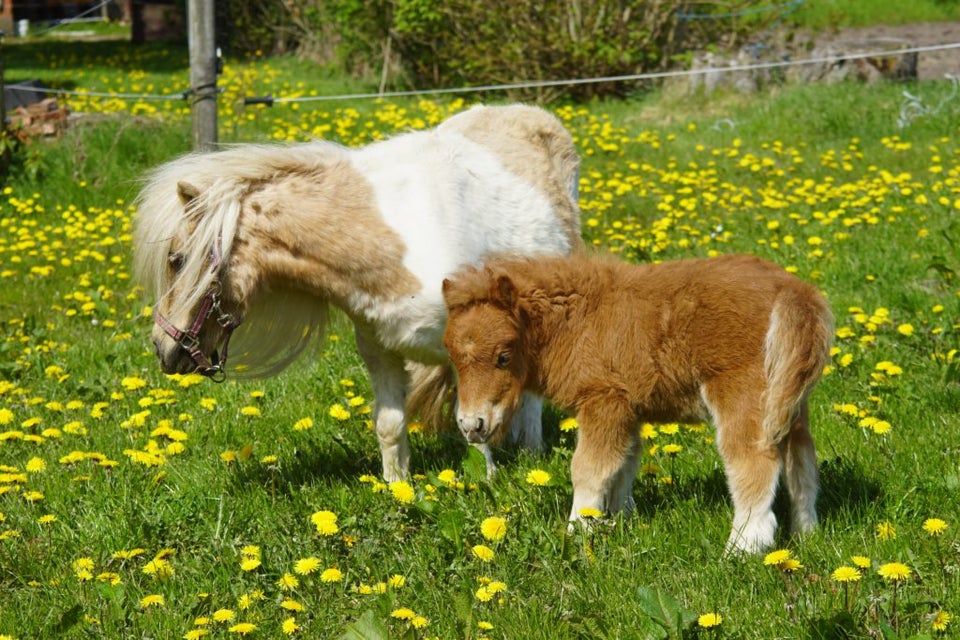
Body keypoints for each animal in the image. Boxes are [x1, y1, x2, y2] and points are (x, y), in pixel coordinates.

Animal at [126, 105, 576, 480]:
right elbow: (390, 426)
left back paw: (532, 453)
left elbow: (474, 423)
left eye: (177, 260)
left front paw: (486, 482)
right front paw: (397, 489)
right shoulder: (379, 350)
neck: (398, 242)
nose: (163, 348)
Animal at [442, 252, 832, 552]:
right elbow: (623, 465)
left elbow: (588, 469)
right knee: (802, 461)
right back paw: (807, 535)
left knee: (753, 463)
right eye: (453, 356)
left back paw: (743, 548)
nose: (471, 425)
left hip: (742, 395)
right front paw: (618, 521)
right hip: (787, 402)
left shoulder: (603, 401)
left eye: (503, 356)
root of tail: (794, 291)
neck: (579, 320)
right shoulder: (628, 410)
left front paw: (576, 532)